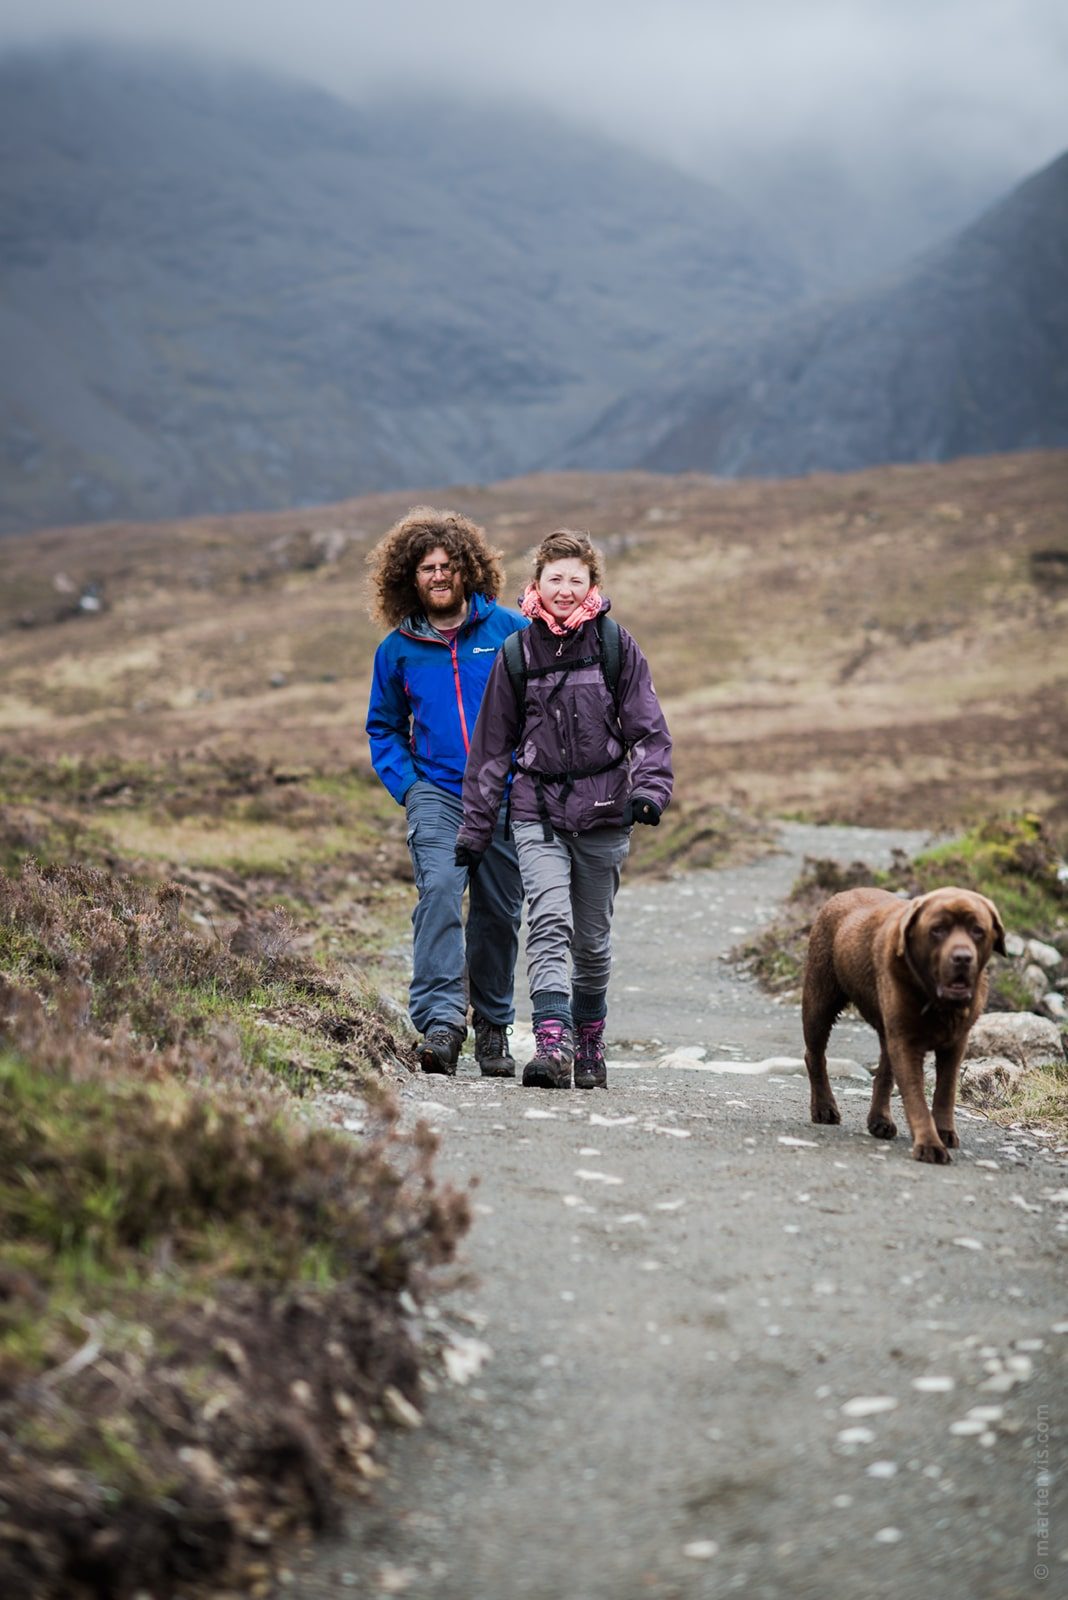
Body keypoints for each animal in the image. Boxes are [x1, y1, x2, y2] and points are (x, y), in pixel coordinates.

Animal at [805, 889, 1004, 1164]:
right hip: (820, 1001)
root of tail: (841, 894)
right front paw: (929, 1144)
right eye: (937, 930)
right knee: (815, 1055)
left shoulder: (955, 1044)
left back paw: (879, 1120)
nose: (963, 958)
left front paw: (943, 1132)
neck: (937, 1001)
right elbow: (915, 1097)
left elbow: (946, 1090)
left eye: (978, 930)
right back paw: (824, 1108)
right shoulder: (906, 1043)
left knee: (884, 1073)